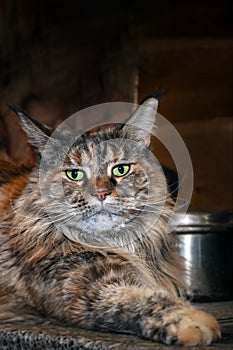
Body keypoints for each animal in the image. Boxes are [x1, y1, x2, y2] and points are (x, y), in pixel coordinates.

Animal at [0, 97, 220, 346]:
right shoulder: (83, 286)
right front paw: (189, 320)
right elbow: (131, 300)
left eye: (121, 169)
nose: (101, 193)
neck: (116, 242)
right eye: (74, 174)